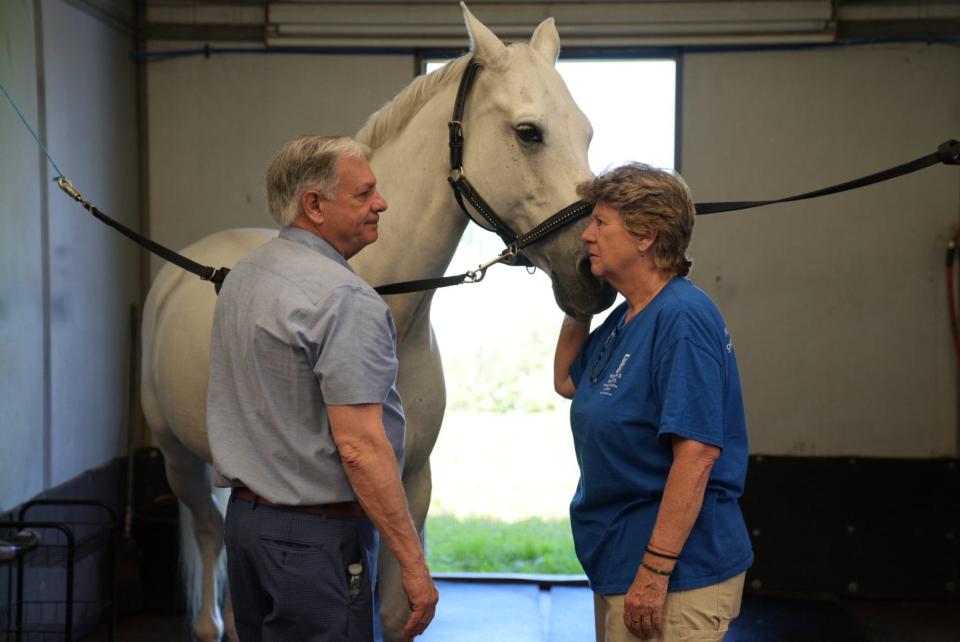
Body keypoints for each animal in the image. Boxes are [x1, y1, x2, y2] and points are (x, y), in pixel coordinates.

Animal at [139, 6, 612, 640]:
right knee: (212, 543)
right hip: (179, 461)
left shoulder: (409, 483)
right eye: (528, 132)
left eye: (586, 133)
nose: (593, 272)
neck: (387, 297)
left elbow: (393, 610)